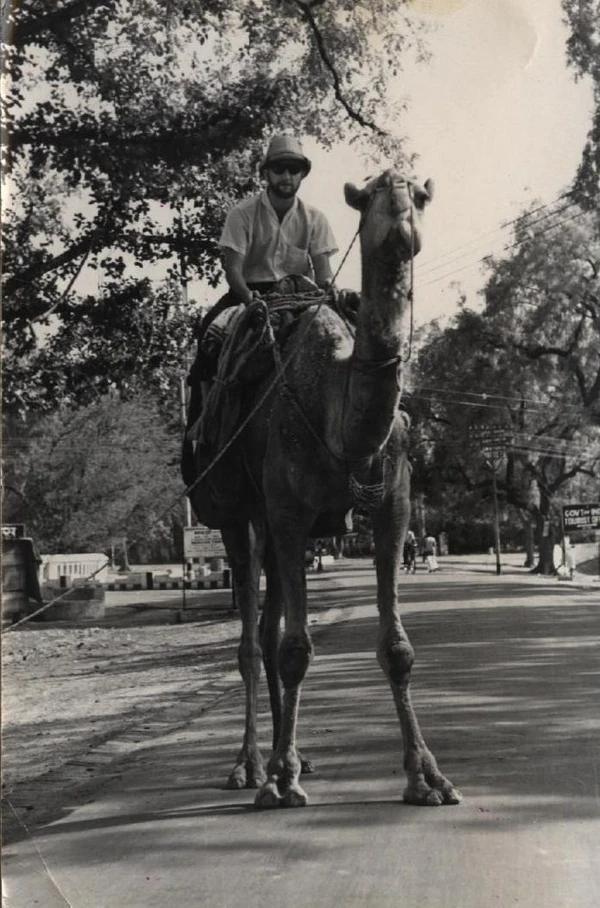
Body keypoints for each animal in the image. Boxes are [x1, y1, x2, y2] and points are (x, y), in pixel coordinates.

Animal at [188, 170, 462, 808]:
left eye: (419, 195)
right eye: (372, 195)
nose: (401, 213)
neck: (338, 409)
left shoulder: (394, 509)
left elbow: (397, 648)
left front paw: (427, 777)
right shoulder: (288, 512)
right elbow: (295, 649)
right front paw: (280, 781)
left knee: (267, 628)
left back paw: (292, 756)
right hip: (236, 516)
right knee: (251, 639)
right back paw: (251, 766)